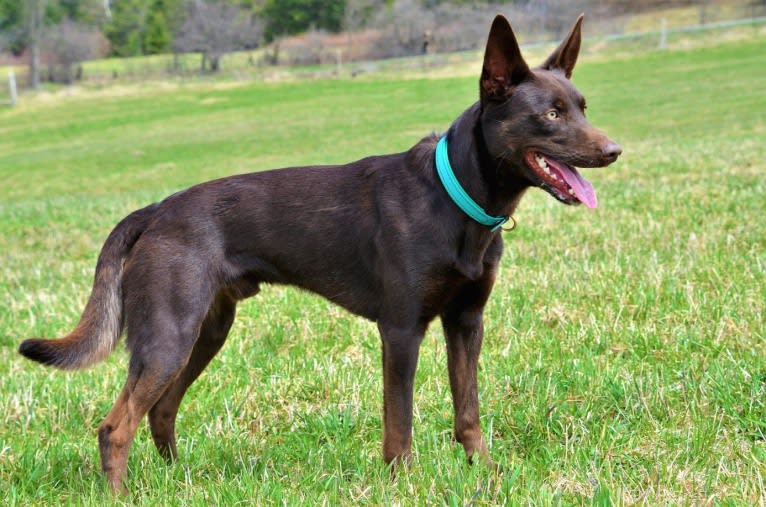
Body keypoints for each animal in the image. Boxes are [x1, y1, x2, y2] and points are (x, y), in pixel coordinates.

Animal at [19, 14, 624, 492]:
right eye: (550, 115)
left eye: (582, 107)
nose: (614, 150)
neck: (457, 197)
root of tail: (156, 210)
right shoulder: (401, 330)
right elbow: (399, 422)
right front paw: (403, 484)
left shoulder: (467, 321)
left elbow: (467, 412)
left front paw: (488, 475)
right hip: (168, 335)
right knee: (115, 426)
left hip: (205, 331)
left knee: (162, 410)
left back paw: (177, 481)